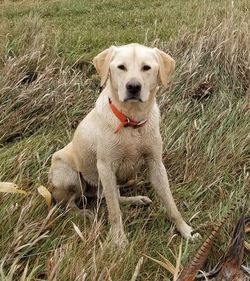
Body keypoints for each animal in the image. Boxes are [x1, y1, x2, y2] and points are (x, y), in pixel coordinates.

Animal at [48, 43, 197, 245]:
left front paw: (185, 229)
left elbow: (170, 203)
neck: (131, 123)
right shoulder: (105, 167)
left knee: (110, 197)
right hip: (69, 173)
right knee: (71, 204)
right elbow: (114, 211)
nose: (133, 87)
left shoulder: (156, 165)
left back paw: (136, 199)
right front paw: (118, 240)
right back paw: (83, 213)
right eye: (121, 67)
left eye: (146, 68)